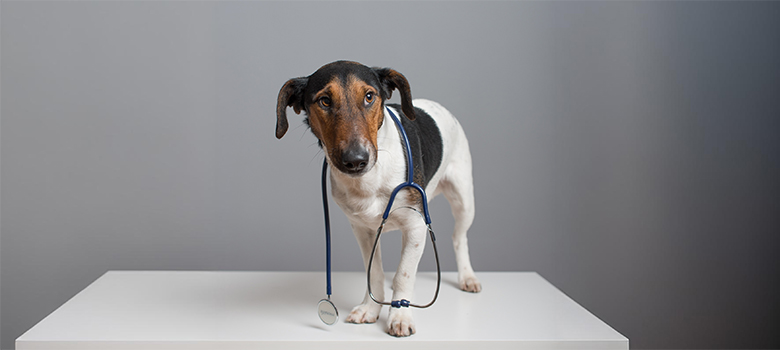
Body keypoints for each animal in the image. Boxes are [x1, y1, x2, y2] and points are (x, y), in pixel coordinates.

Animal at [274, 60, 482, 336]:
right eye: (325, 101)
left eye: (369, 97)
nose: (355, 159)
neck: (369, 180)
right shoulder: (362, 230)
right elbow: (374, 272)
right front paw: (370, 308)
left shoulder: (416, 226)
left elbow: (404, 273)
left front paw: (400, 314)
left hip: (464, 199)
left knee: (459, 238)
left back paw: (467, 277)